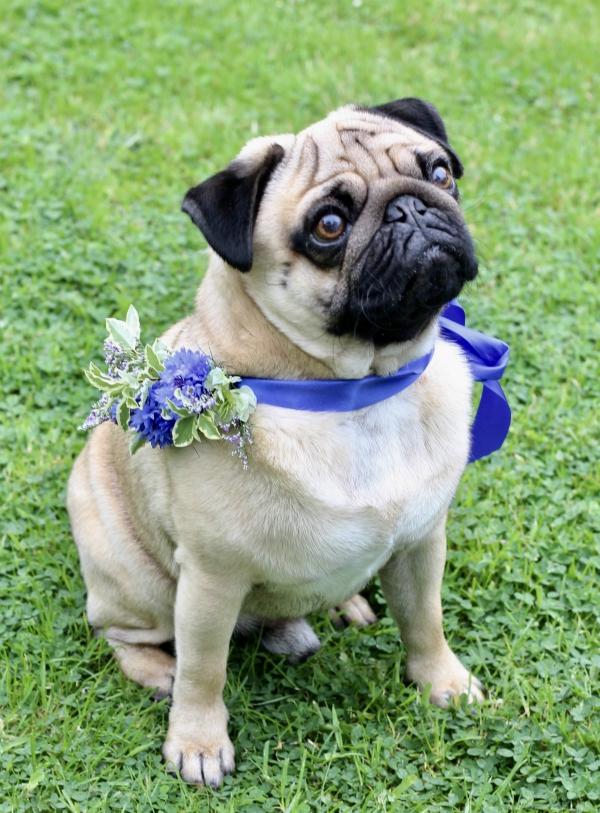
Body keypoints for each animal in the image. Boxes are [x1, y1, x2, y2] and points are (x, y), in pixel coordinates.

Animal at [68, 96, 482, 788]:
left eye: (439, 173)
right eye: (329, 226)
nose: (410, 206)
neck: (361, 389)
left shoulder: (422, 541)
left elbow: (426, 620)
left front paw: (443, 683)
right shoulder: (211, 580)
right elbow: (205, 672)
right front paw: (198, 744)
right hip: (140, 584)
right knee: (124, 634)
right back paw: (157, 671)